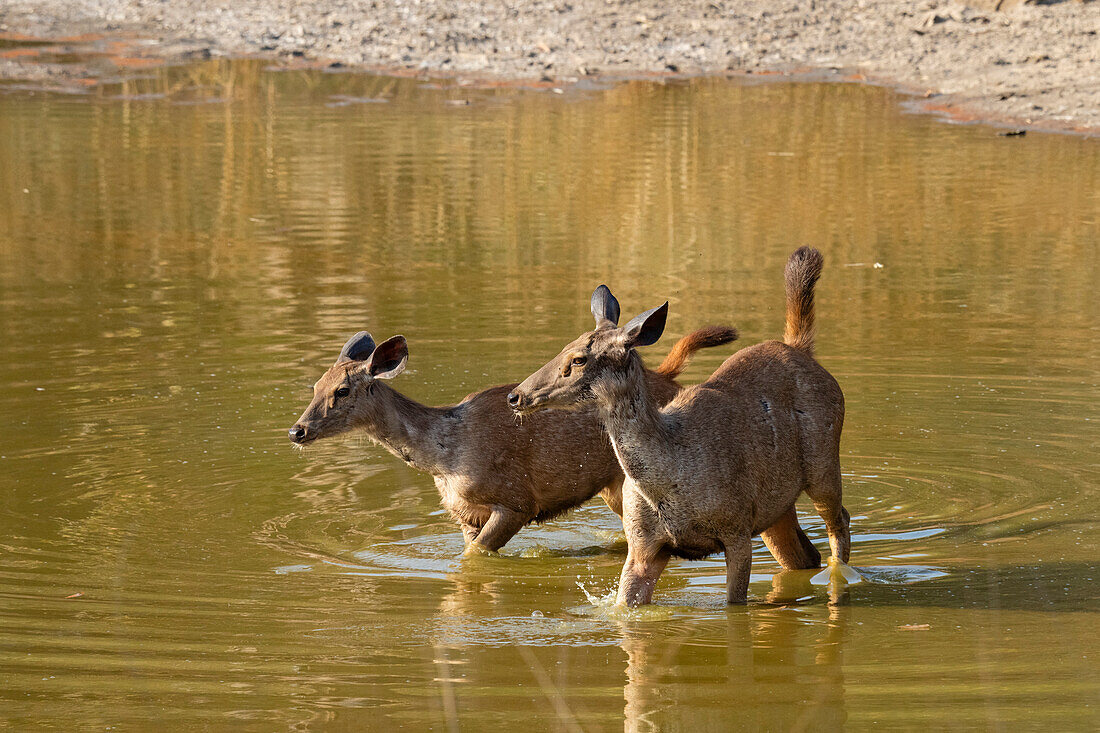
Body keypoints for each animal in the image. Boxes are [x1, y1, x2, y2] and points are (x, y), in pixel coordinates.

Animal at [506, 248, 849, 603]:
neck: (671, 479)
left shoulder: (736, 529)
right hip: (775, 506)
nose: (515, 396)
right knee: (804, 554)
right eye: (563, 348)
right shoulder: (642, 546)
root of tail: (799, 348)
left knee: (839, 522)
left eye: (577, 359)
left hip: (823, 461)